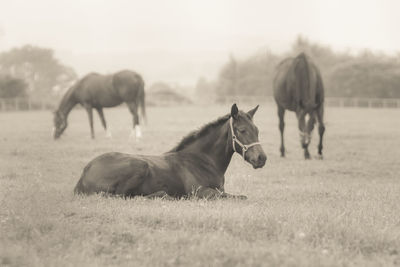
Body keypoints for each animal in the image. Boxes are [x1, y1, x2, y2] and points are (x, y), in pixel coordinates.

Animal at [74, 103, 268, 200]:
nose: (262, 158)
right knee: (123, 196)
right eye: (242, 130)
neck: (202, 160)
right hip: (140, 165)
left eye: (257, 130)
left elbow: (240, 196)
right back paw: (163, 195)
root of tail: (84, 173)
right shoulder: (200, 192)